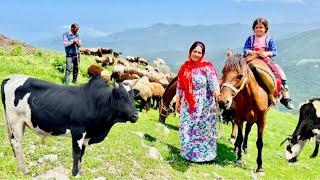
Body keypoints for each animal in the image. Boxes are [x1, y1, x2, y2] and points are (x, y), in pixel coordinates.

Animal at [0, 74, 139, 176]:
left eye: (133, 98)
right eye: (121, 97)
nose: (136, 115)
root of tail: (10, 77)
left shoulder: (86, 135)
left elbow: (82, 154)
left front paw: (80, 173)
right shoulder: (78, 131)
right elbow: (76, 153)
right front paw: (75, 174)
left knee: (13, 143)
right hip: (15, 121)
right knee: (17, 144)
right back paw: (24, 171)